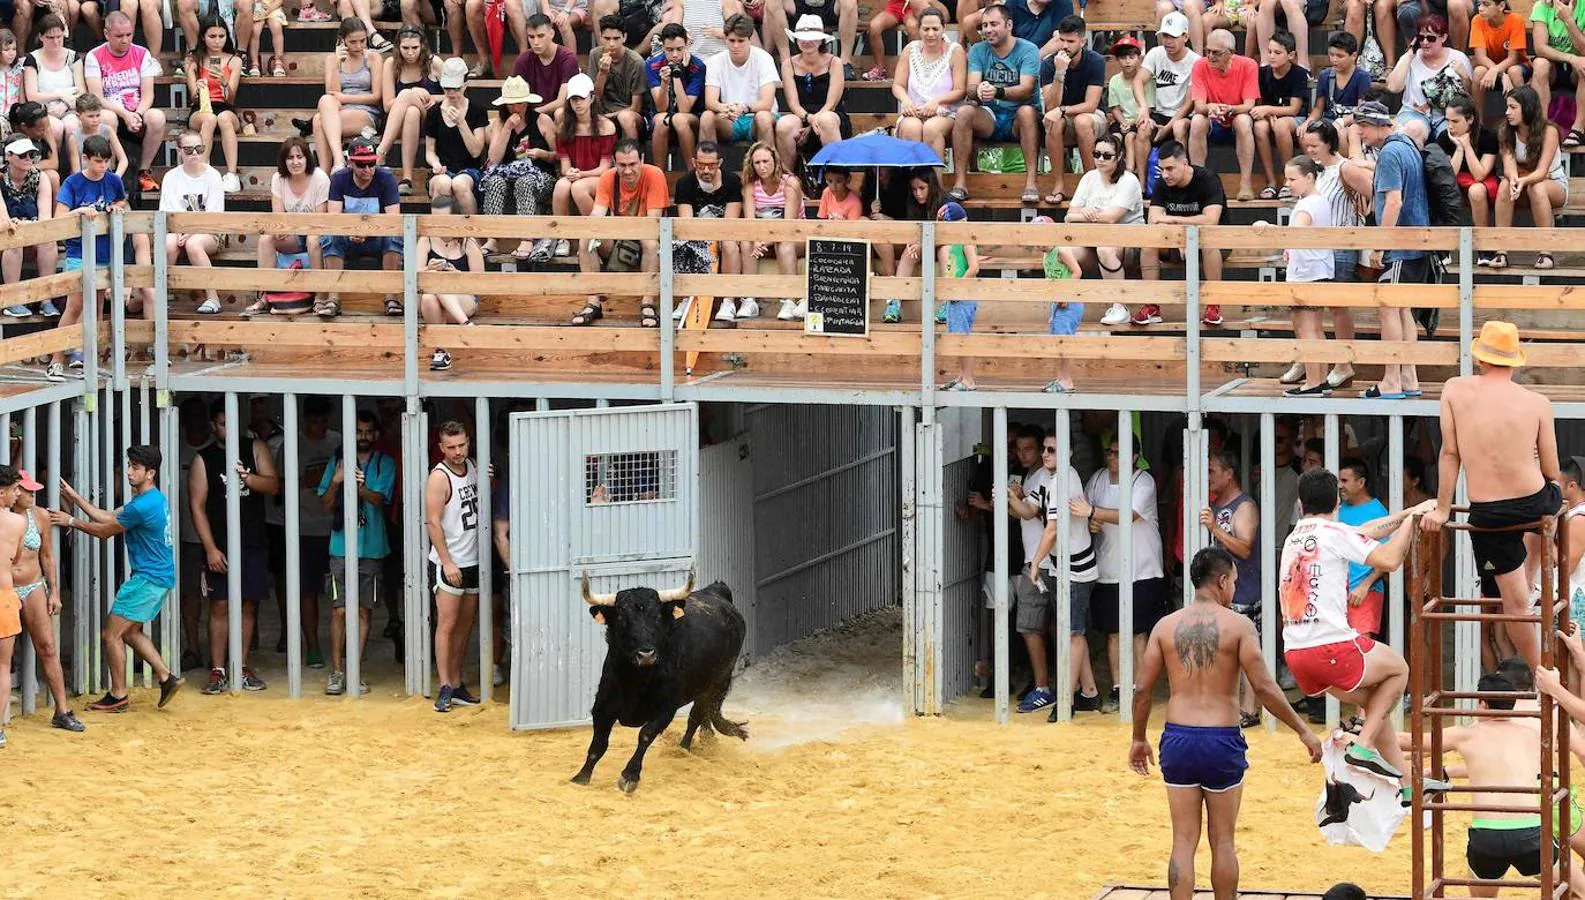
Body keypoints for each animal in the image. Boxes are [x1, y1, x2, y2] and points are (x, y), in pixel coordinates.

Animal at [570, 573, 748, 792]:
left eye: (656, 617)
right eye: (621, 618)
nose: (646, 654)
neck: (635, 680)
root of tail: (717, 590)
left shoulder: (665, 710)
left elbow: (645, 735)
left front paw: (630, 776)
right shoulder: (602, 706)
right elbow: (598, 744)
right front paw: (581, 776)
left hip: (717, 681)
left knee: (696, 715)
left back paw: (683, 748)